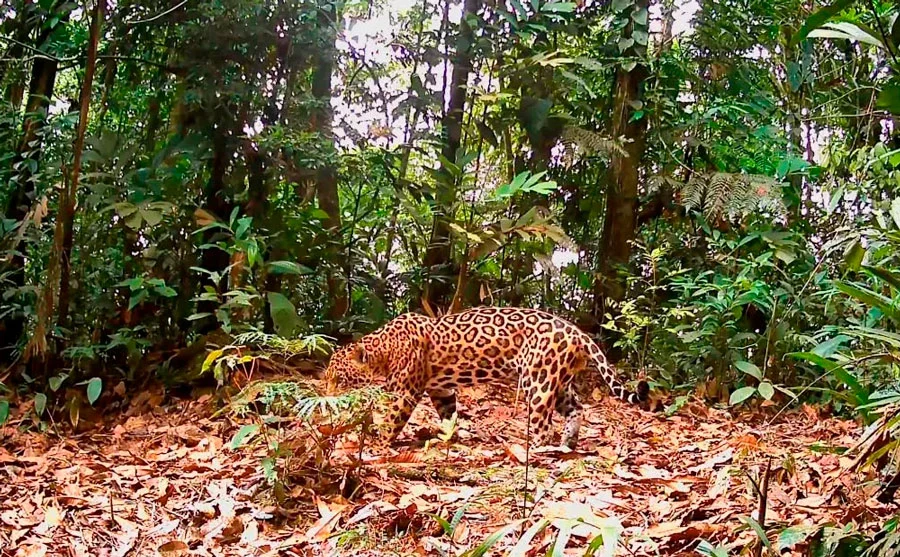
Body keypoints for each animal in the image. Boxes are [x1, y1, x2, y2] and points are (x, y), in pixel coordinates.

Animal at [324, 306, 649, 450]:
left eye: (338, 380)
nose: (324, 396)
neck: (384, 348)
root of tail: (577, 332)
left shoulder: (403, 392)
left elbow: (391, 420)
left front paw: (377, 445)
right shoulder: (441, 390)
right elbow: (449, 414)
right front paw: (448, 437)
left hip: (538, 381)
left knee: (543, 424)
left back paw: (536, 450)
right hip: (557, 381)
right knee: (576, 409)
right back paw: (568, 442)